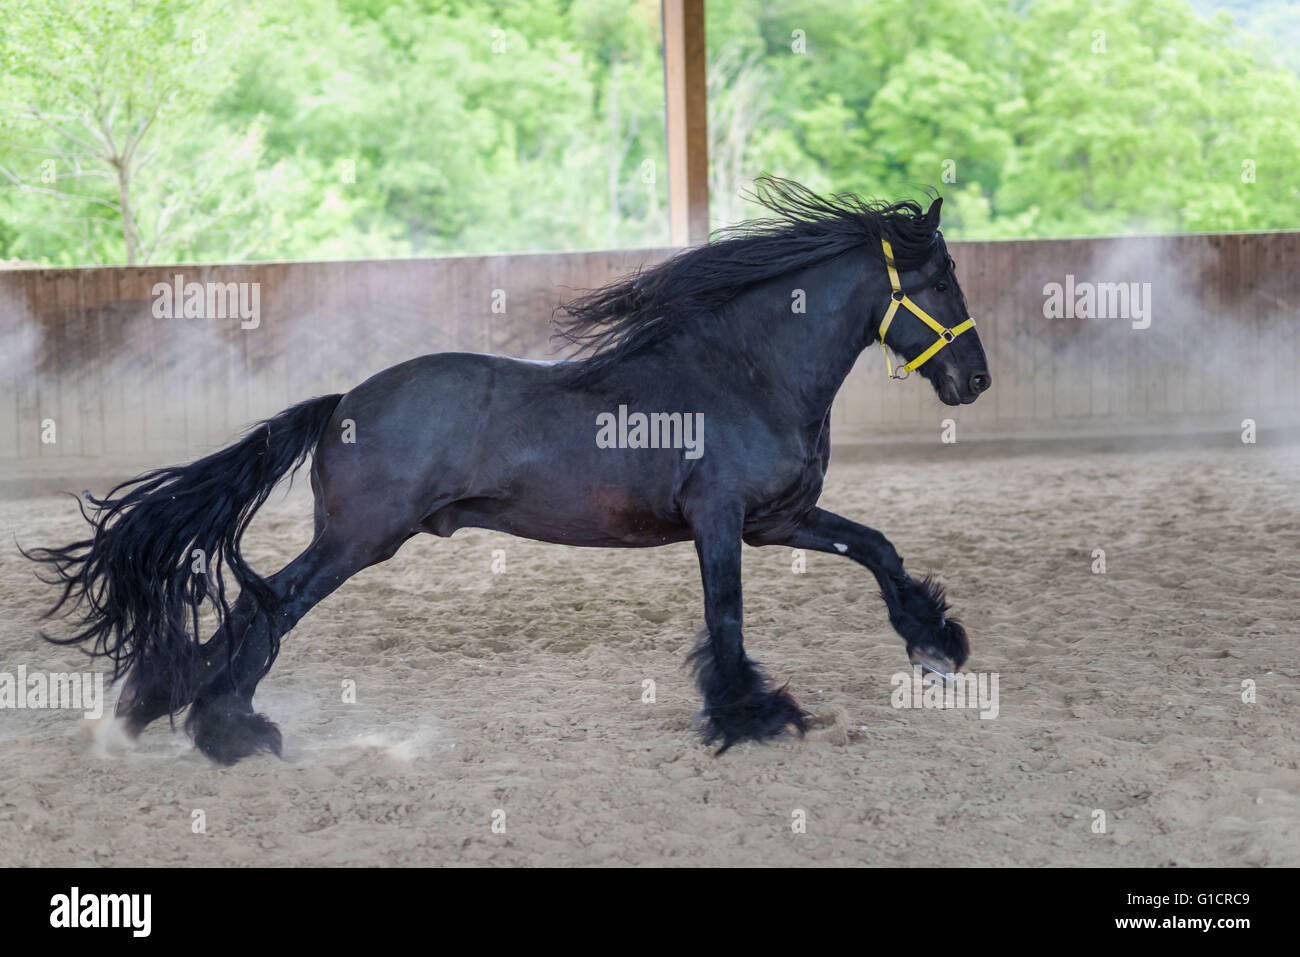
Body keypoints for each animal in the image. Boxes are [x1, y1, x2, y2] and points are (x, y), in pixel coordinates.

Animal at [22, 177, 991, 764]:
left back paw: (166, 706)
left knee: (256, 610)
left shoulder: (777, 520)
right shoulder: (720, 523)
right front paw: (753, 715)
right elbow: (727, 620)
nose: (974, 380)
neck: (743, 371)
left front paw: (935, 645)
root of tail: (342, 402)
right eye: (941, 279)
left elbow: (880, 548)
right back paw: (229, 727)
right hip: (359, 540)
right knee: (270, 609)